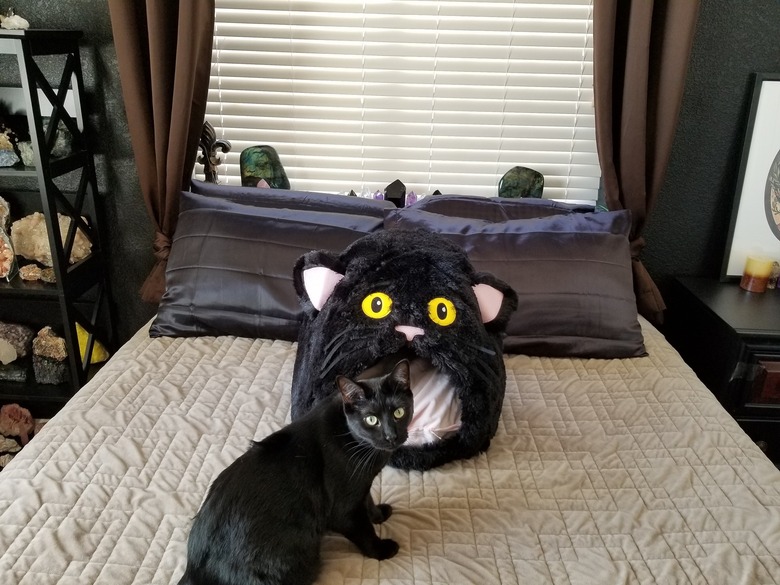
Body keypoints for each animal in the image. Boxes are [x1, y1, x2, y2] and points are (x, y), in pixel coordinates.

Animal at [177, 358, 414, 584]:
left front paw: (379, 514)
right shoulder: (344, 510)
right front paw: (381, 550)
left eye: (399, 412)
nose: (391, 436)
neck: (352, 439)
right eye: (371, 420)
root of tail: (194, 569)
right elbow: (364, 532)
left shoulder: (360, 486)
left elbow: (368, 501)